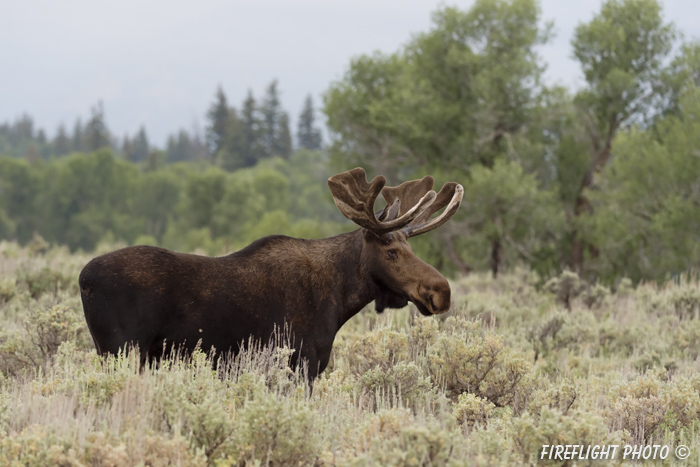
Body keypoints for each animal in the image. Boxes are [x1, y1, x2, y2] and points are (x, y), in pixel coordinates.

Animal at [79, 168, 462, 380]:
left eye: (410, 247)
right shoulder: (301, 363)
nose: (441, 291)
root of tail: (83, 279)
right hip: (121, 350)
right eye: (391, 251)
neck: (339, 300)